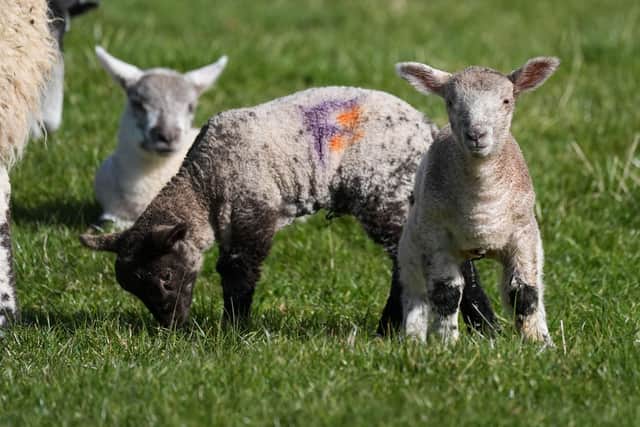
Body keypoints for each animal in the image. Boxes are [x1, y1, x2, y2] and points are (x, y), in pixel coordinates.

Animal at [80, 86, 497, 334]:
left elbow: (238, 270)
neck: (204, 184)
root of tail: (428, 129)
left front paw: (233, 330)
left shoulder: (253, 210)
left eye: (166, 276)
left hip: (388, 195)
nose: (171, 326)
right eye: (134, 289)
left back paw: (477, 326)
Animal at [395, 57, 560, 345]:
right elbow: (446, 294)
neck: (482, 206)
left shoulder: (524, 234)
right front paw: (446, 344)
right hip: (411, 244)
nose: (476, 134)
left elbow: (525, 292)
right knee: (416, 293)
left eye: (506, 100)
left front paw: (537, 343)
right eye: (450, 101)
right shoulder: (435, 237)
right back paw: (413, 339)